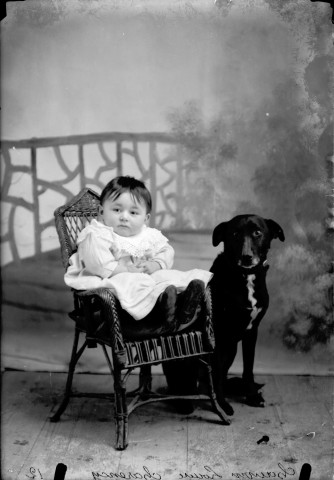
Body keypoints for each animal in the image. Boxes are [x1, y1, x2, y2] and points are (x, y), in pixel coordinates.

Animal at [209, 215, 284, 416]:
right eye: (235, 234)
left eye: (257, 232)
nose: (246, 256)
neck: (246, 276)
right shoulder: (218, 333)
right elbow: (216, 373)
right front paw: (222, 404)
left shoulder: (252, 331)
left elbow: (248, 368)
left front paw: (251, 396)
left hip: (231, 350)